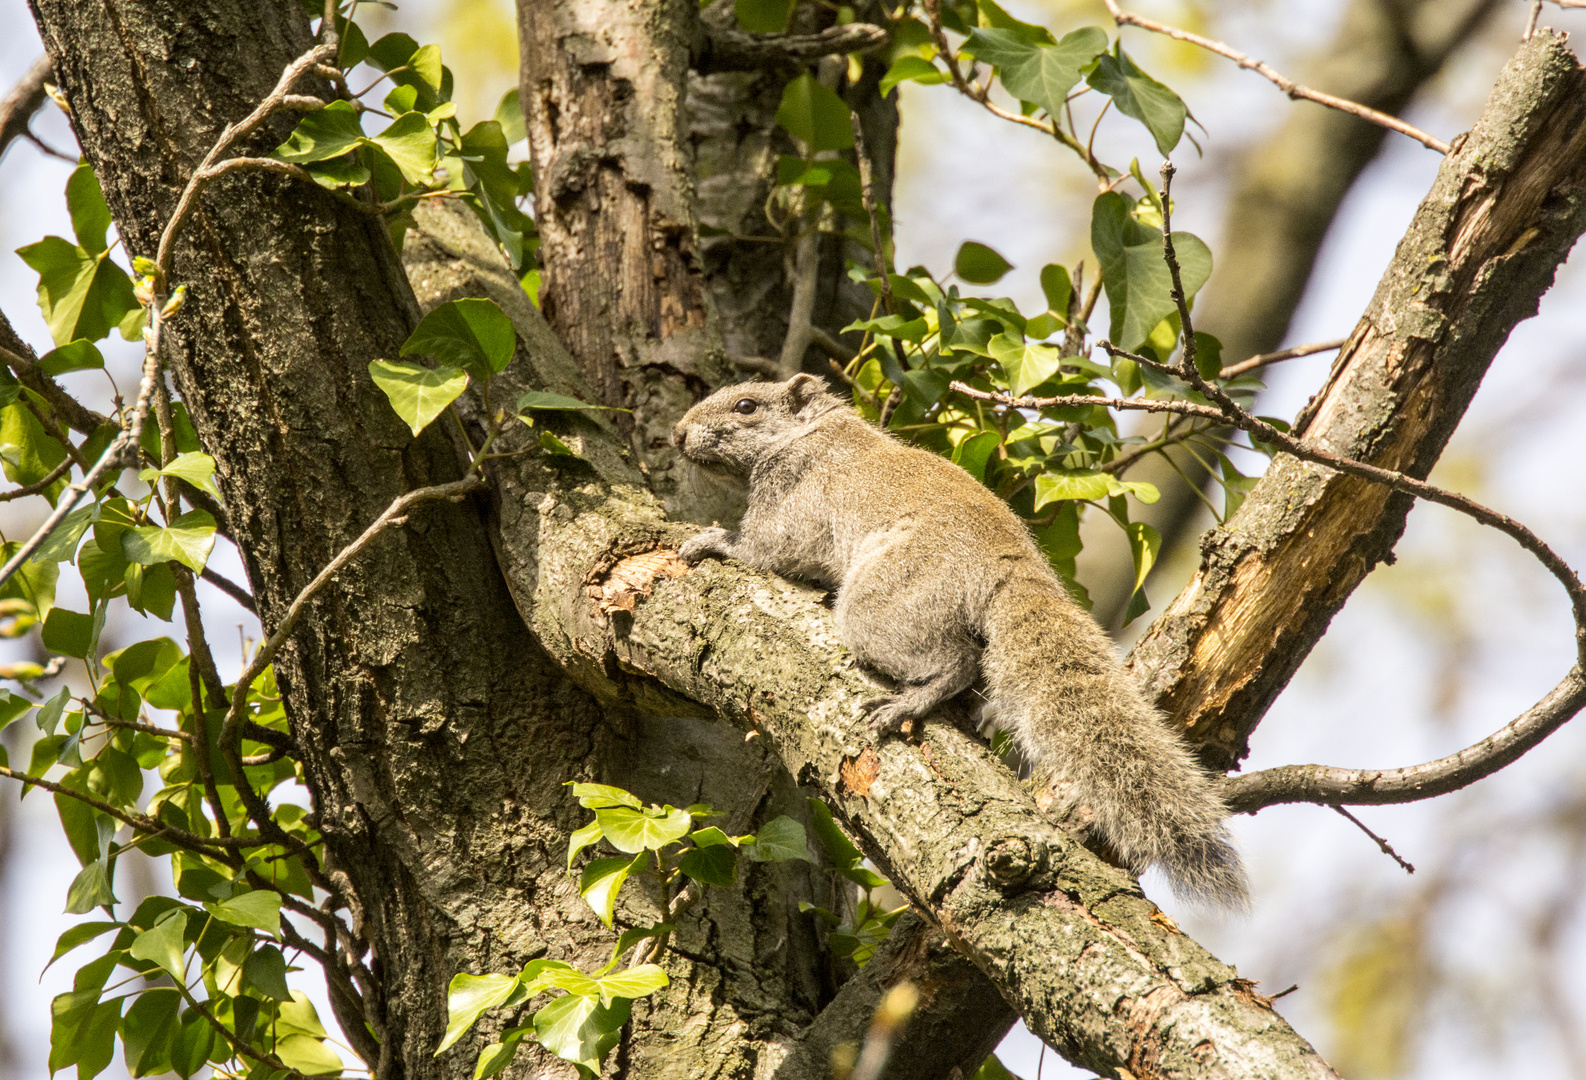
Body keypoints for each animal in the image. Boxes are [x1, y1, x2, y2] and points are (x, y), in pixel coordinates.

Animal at [669, 374, 1249, 907]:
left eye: (746, 406)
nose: (677, 433)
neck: (807, 433)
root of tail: (1010, 566)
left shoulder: (795, 500)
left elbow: (766, 548)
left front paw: (714, 541)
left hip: (885, 600)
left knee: (959, 659)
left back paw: (910, 701)